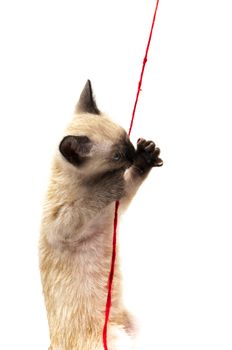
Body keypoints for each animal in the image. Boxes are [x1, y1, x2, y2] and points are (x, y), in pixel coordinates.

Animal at [39, 80, 163, 350]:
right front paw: (109, 183)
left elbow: (131, 181)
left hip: (134, 327)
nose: (132, 155)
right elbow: (87, 202)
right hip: (113, 339)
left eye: (127, 139)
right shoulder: (63, 224)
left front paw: (146, 156)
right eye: (117, 156)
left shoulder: (113, 209)